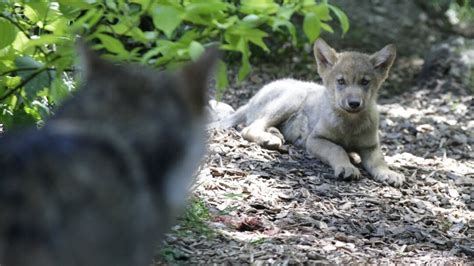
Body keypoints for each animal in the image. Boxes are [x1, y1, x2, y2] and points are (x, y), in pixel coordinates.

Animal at [211, 39, 404, 187]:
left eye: (365, 82)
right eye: (341, 81)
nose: (354, 103)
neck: (350, 124)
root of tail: (252, 99)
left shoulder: (370, 146)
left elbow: (380, 160)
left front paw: (389, 173)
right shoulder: (316, 139)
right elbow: (337, 149)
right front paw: (347, 167)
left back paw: (276, 134)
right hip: (292, 99)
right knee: (250, 127)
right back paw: (269, 138)